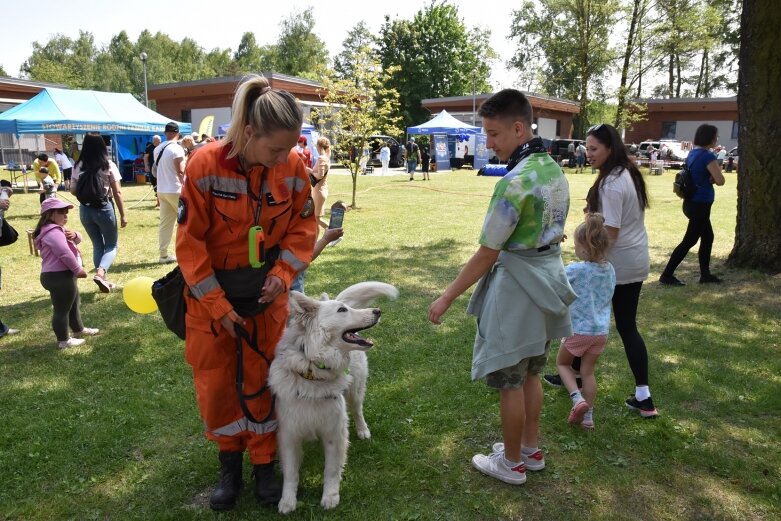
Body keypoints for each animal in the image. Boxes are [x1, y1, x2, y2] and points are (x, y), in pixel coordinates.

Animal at [272, 280, 400, 512]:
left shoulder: (335, 432)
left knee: (358, 411)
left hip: (355, 390)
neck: (313, 371)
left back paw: (363, 430)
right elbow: (291, 474)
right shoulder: (289, 436)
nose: (377, 311)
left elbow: (331, 470)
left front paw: (330, 496)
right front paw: (287, 501)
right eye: (342, 310)